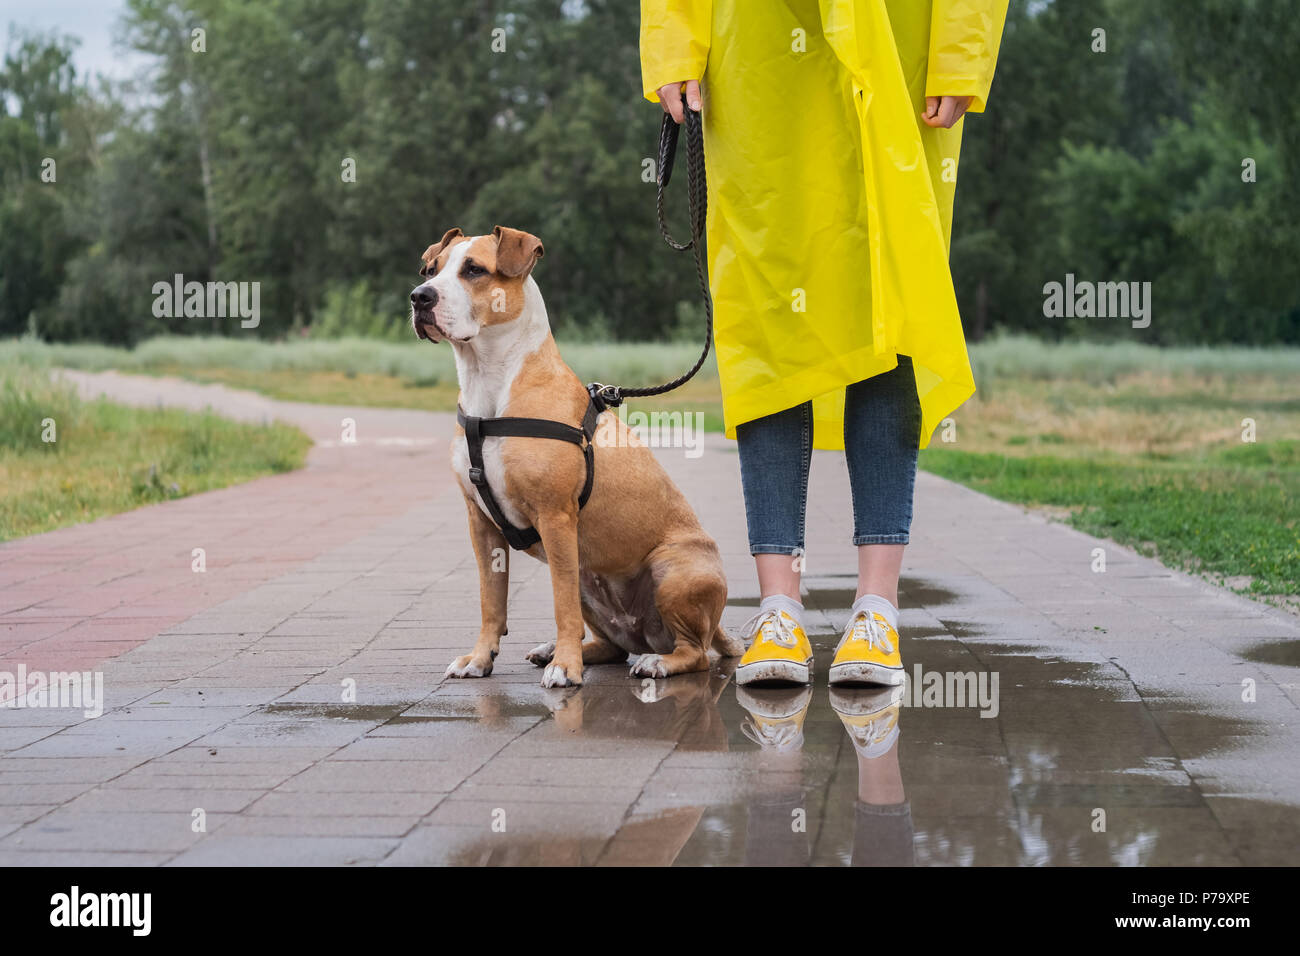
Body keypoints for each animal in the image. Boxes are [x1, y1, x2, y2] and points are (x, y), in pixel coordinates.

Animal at [410, 225, 748, 686]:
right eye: (431, 270)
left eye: (474, 270)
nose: (419, 297)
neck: (490, 382)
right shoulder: (480, 523)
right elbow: (490, 599)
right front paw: (479, 659)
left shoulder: (555, 516)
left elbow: (561, 606)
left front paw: (566, 668)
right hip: (591, 575)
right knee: (613, 646)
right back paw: (556, 651)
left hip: (672, 568)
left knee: (694, 653)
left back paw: (652, 662)